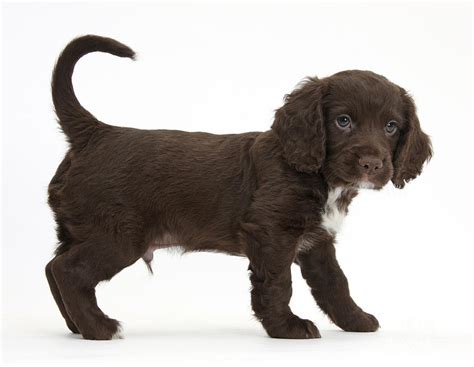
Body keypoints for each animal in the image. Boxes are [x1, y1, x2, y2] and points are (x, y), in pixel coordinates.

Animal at [46, 36, 432, 340]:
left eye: (392, 126)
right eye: (343, 121)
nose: (373, 164)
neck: (318, 175)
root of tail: (96, 132)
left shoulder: (317, 241)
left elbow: (334, 283)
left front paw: (356, 320)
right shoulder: (272, 232)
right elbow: (278, 283)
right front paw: (287, 328)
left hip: (77, 229)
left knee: (53, 268)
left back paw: (77, 326)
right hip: (119, 236)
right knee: (69, 271)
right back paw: (99, 328)